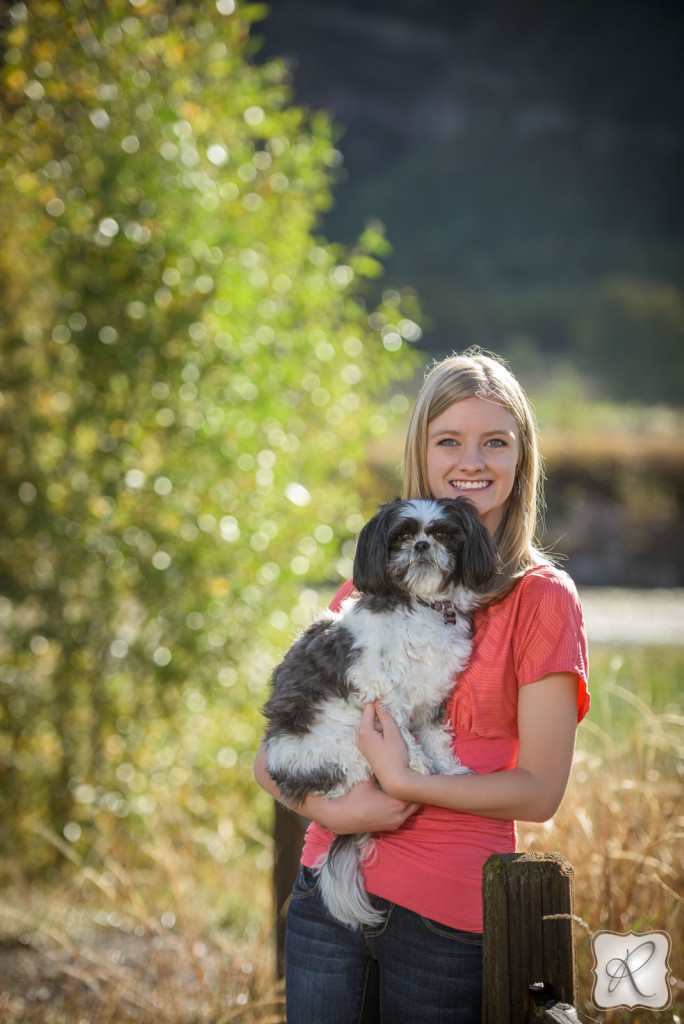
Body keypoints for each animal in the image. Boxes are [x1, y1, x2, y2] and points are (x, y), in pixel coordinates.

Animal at [264, 495, 497, 929]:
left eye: (444, 534)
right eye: (401, 536)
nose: (421, 545)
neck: (422, 606)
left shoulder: (435, 693)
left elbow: (437, 737)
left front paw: (448, 768)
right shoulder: (379, 688)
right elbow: (403, 735)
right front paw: (417, 769)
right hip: (344, 748)